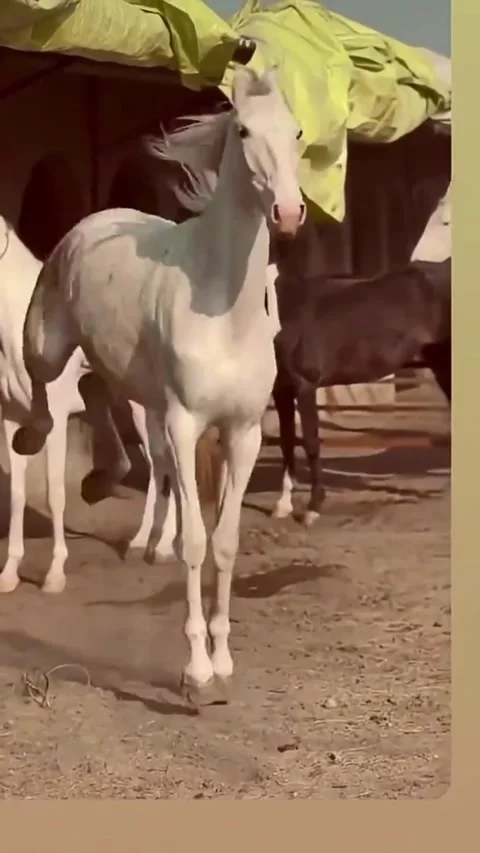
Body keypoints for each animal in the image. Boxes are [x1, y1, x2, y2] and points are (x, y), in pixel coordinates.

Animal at [0, 217, 177, 593]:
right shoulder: (12, 420)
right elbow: (18, 496)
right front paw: (9, 573)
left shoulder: (53, 422)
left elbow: (54, 495)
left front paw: (54, 574)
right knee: (159, 467)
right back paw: (144, 540)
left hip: (145, 411)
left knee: (165, 467)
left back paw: (160, 545)